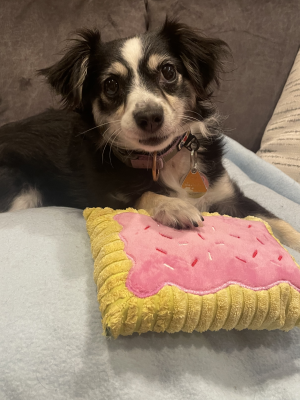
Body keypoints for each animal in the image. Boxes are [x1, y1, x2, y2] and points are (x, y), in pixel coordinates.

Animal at [0, 19, 298, 250]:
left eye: (168, 71)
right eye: (111, 85)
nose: (150, 117)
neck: (162, 157)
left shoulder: (227, 196)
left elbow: (277, 221)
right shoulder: (105, 200)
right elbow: (144, 195)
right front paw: (175, 207)